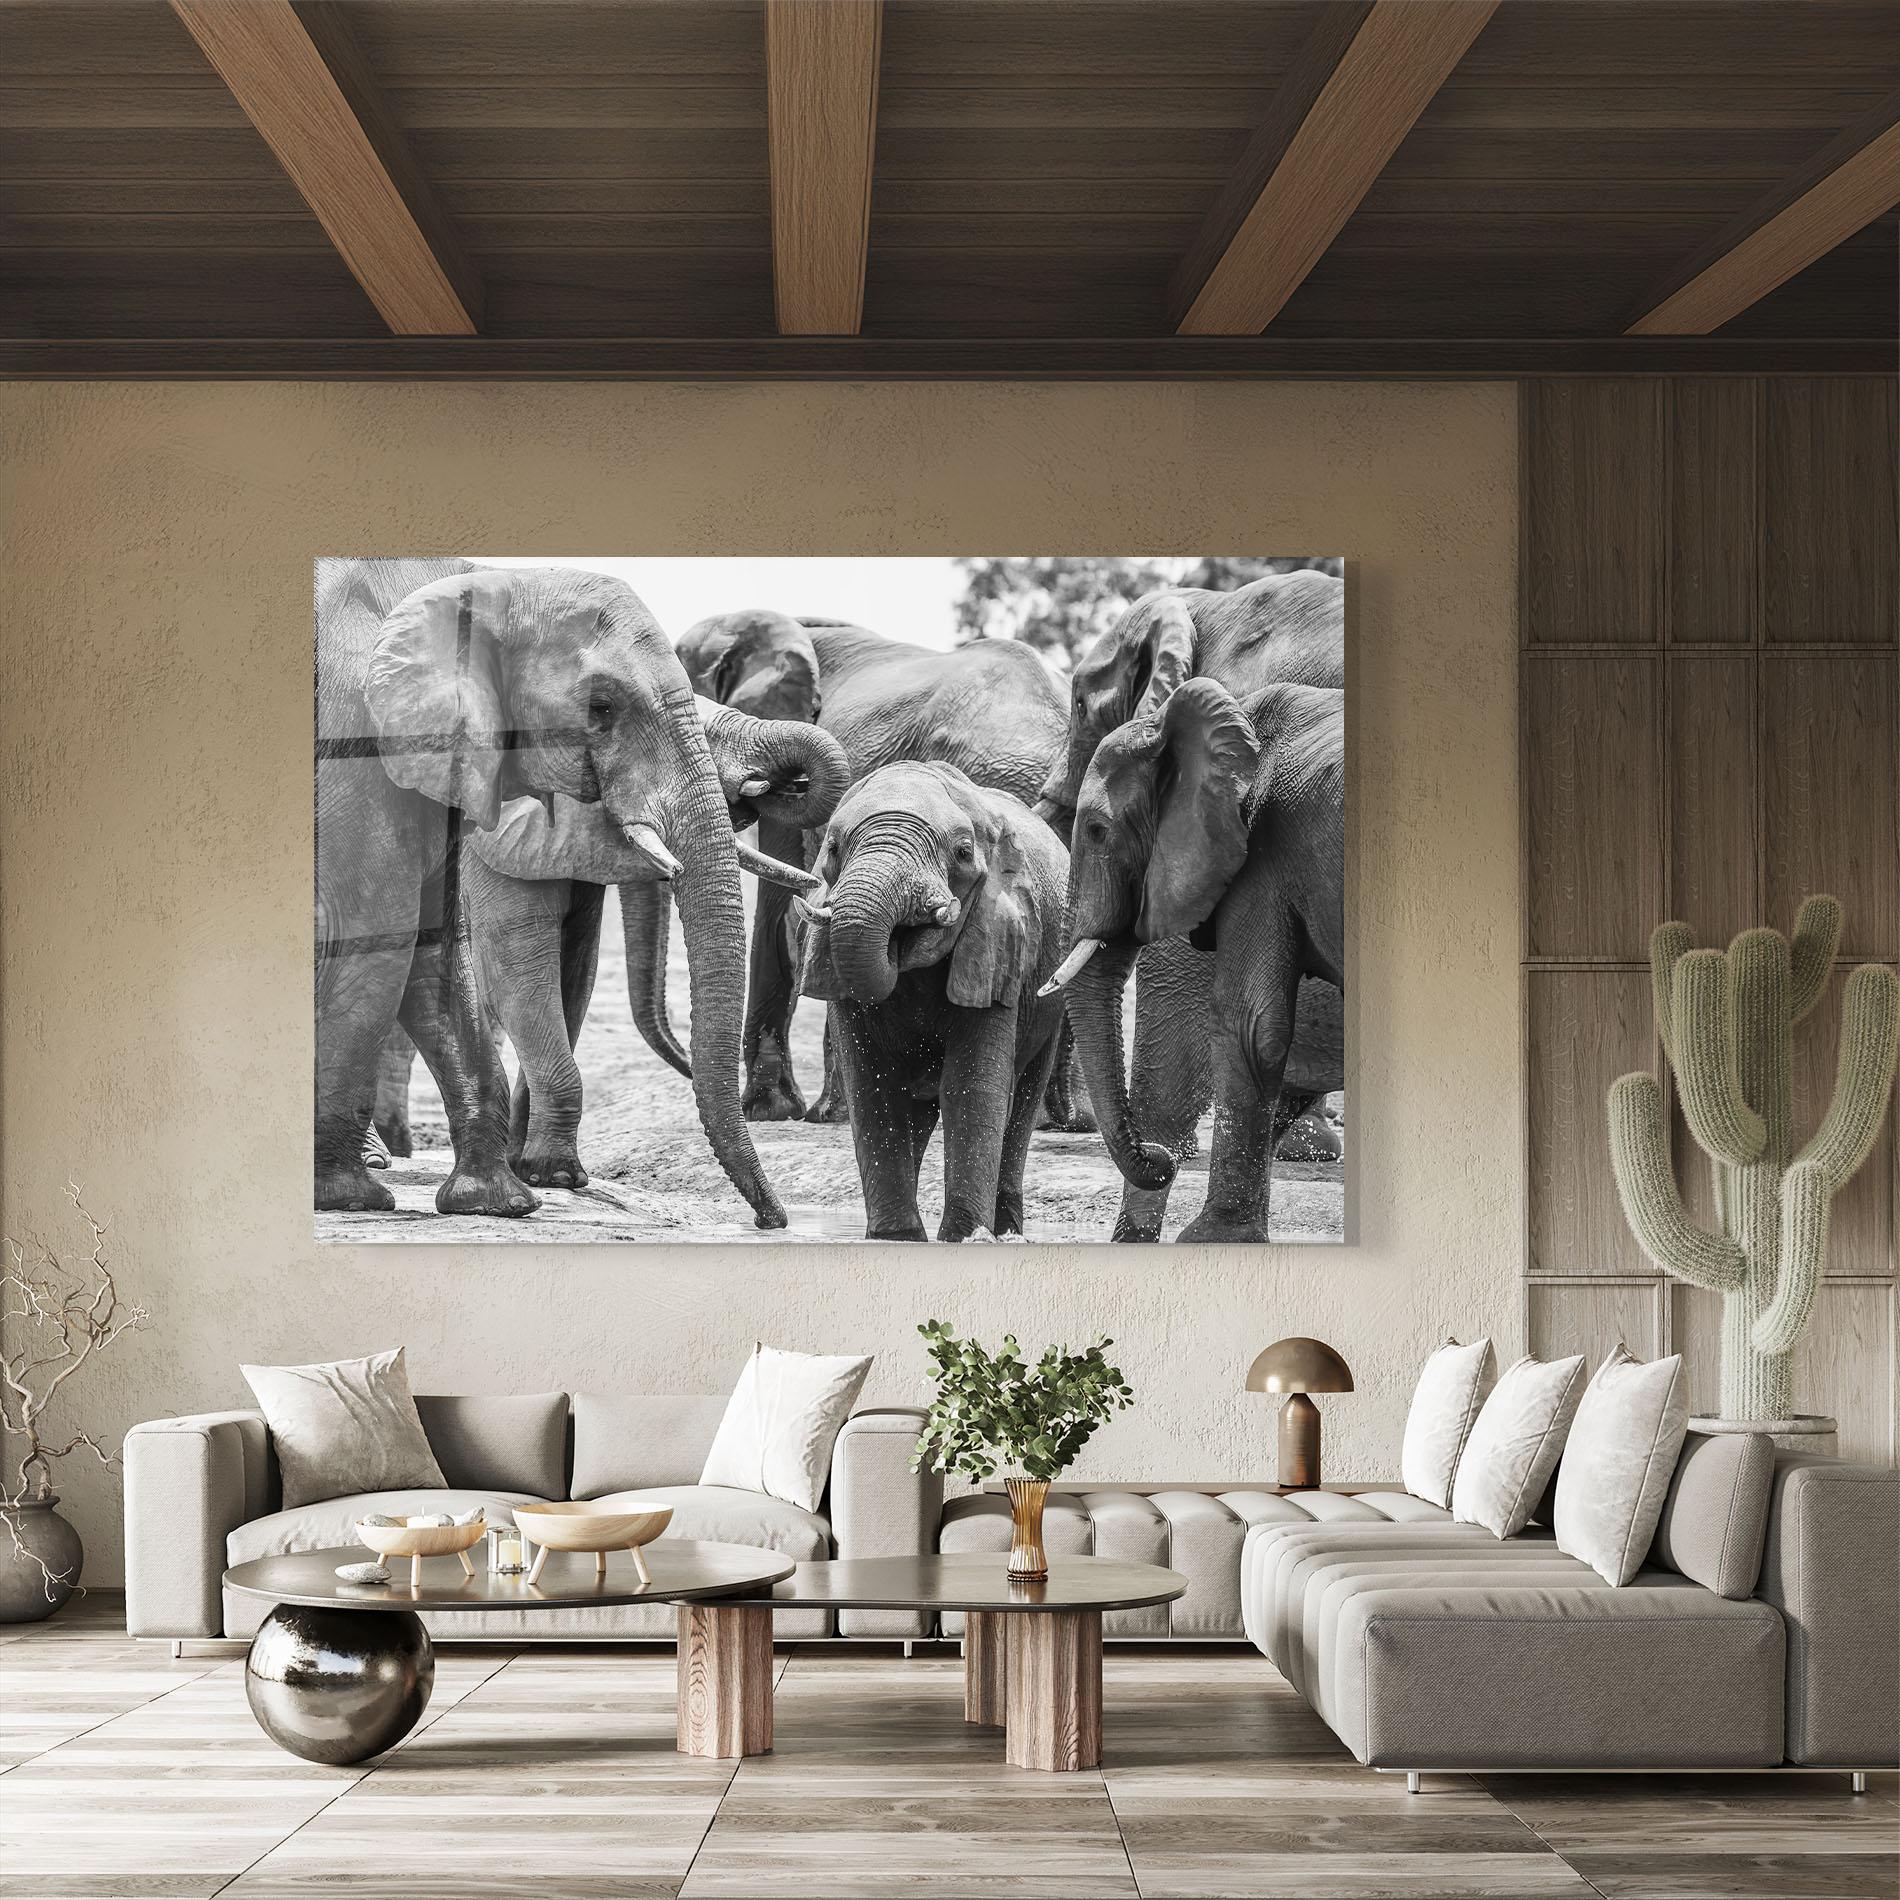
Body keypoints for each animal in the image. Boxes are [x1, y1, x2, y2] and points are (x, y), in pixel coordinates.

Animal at [314, 561, 802, 1227]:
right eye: (602, 707)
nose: (770, 1220)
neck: (491, 583)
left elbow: (442, 955)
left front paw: (503, 1199)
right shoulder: (360, 756)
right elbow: (398, 940)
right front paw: (349, 1198)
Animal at [459, 700, 848, 1188]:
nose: (789, 784)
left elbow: (575, 978)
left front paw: (531, 1169)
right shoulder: (490, 841)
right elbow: (519, 975)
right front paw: (558, 1176)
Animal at [796, 762, 1068, 1243]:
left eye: (962, 852)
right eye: (831, 847)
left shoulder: (999, 944)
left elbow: (970, 1088)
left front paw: (965, 1238)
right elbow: (874, 1086)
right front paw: (896, 1239)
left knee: (1022, 1101)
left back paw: (1007, 1232)